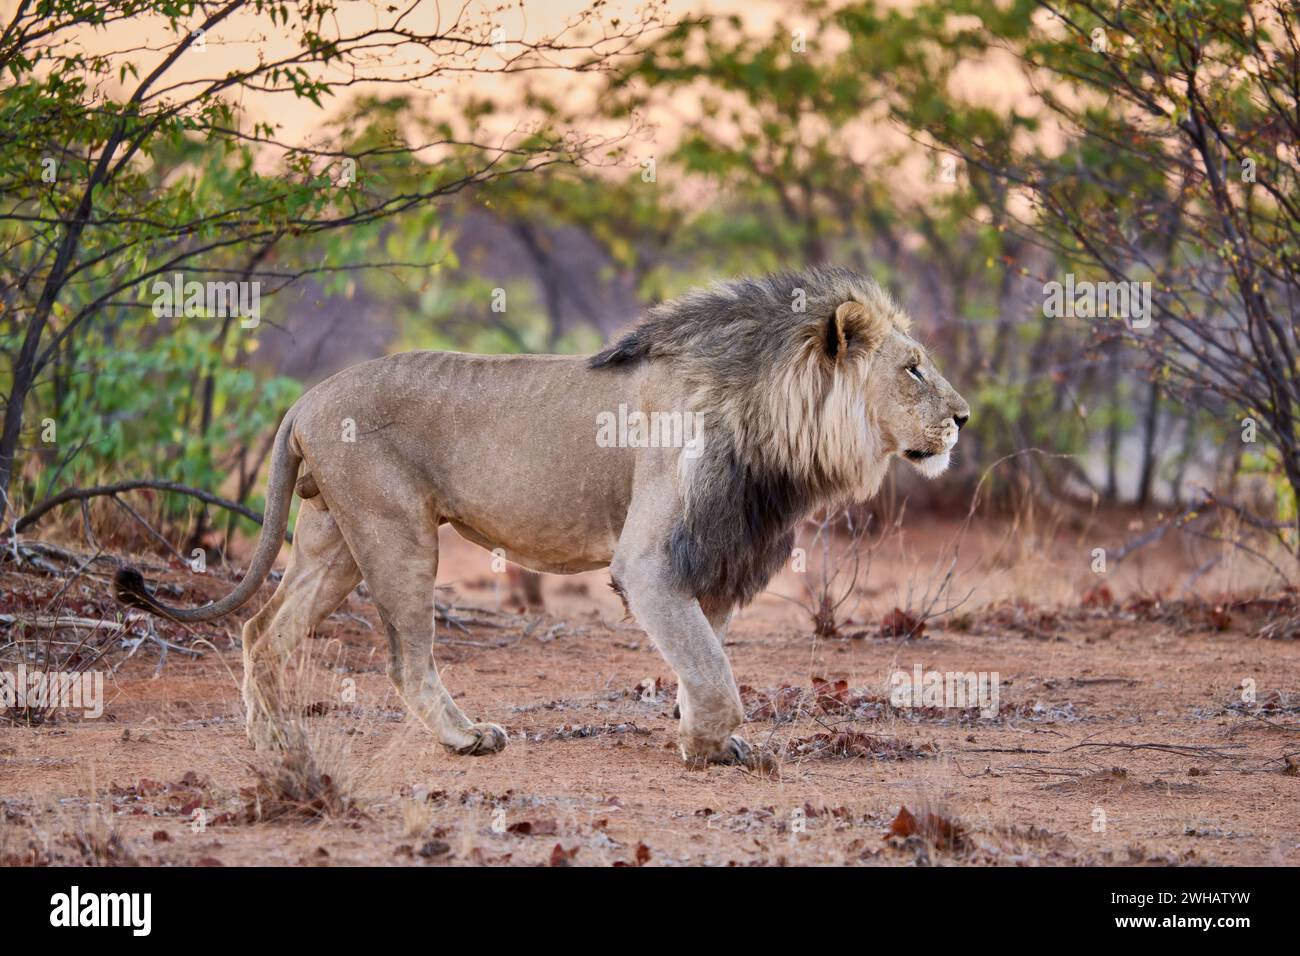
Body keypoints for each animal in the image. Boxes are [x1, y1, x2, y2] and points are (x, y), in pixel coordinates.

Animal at [116, 267, 972, 770]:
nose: (964, 417)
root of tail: (305, 398)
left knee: (264, 631)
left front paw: (702, 734)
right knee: (405, 658)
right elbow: (713, 669)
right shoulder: (651, 562)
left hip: (336, 545)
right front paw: (706, 744)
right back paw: (465, 738)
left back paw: (275, 744)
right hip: (397, 535)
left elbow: (703, 659)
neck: (775, 428)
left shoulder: (714, 557)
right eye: (912, 369)